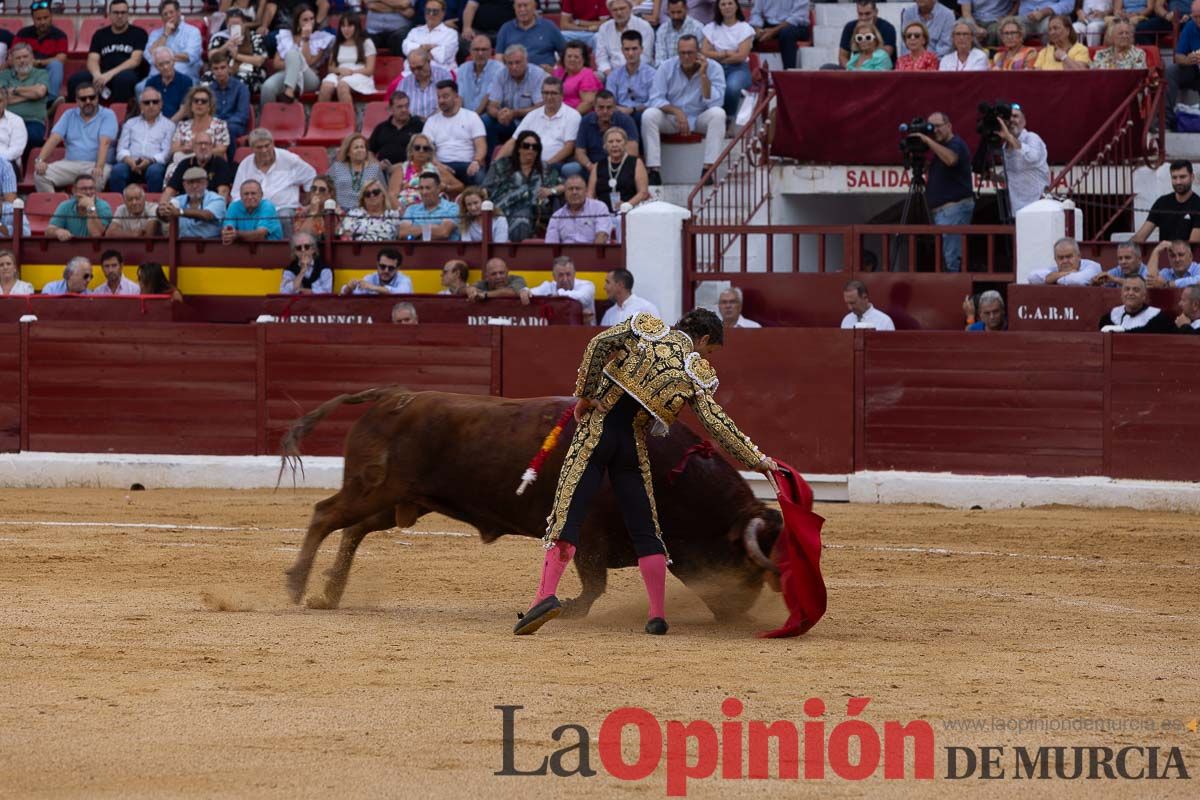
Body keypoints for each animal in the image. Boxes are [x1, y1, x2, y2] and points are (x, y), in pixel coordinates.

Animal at [284, 391, 782, 623]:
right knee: (325, 515)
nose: (741, 612)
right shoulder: (590, 538)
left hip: (400, 501)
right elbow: (592, 587)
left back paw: (328, 593)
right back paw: (297, 584)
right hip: (376, 491)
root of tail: (390, 396)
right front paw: (557, 610)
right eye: (746, 564)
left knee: (352, 529)